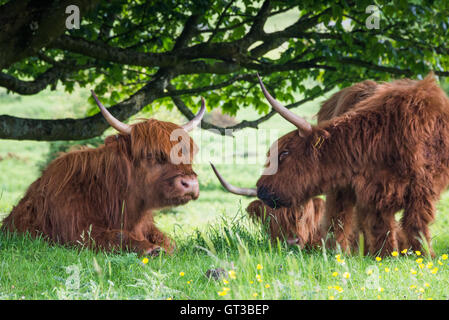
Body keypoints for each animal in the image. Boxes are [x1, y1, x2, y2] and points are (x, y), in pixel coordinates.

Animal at [0, 92, 205, 255]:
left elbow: (169, 242)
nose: (190, 183)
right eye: (150, 154)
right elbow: (118, 236)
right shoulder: (76, 231)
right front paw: (151, 249)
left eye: (187, 153)